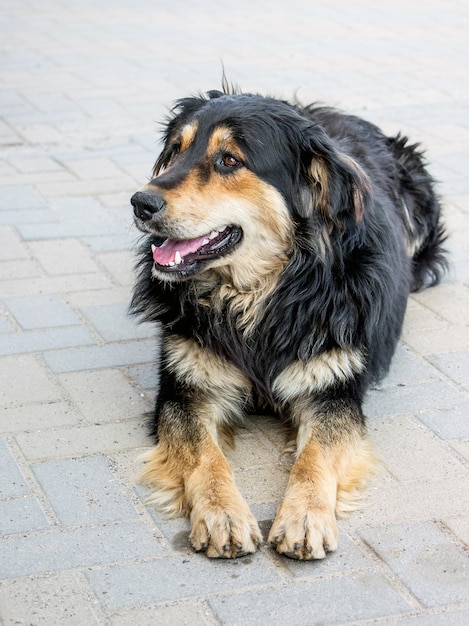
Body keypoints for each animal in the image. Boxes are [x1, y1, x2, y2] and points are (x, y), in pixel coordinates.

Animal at [129, 85, 446, 560]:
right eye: (175, 152)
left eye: (229, 160)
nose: (140, 203)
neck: (265, 293)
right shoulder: (185, 389)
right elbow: (206, 455)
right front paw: (223, 514)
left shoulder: (334, 389)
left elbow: (316, 455)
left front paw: (305, 517)